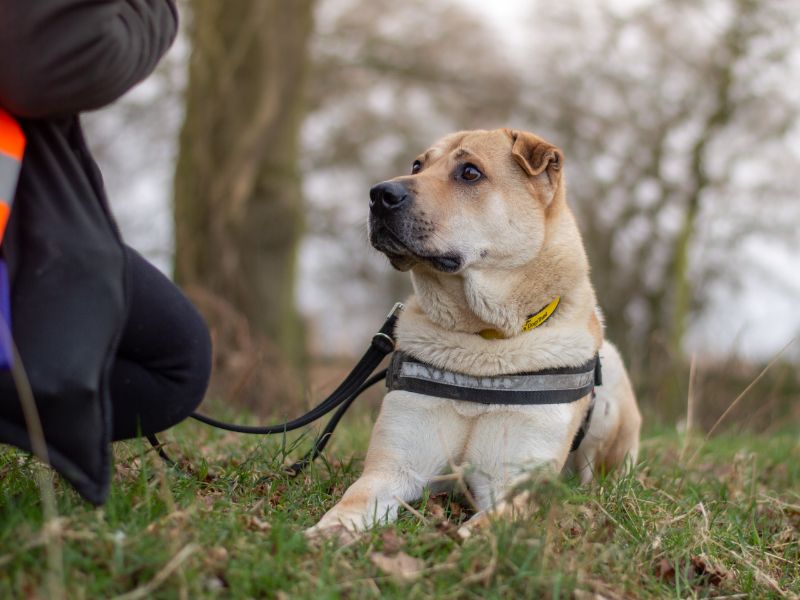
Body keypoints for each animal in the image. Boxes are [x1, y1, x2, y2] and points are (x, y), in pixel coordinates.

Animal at [308, 129, 644, 536]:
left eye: (470, 172)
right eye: (417, 165)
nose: (379, 194)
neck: (483, 339)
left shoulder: (512, 485)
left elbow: (481, 529)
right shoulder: (391, 469)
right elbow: (352, 504)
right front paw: (324, 535)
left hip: (613, 377)